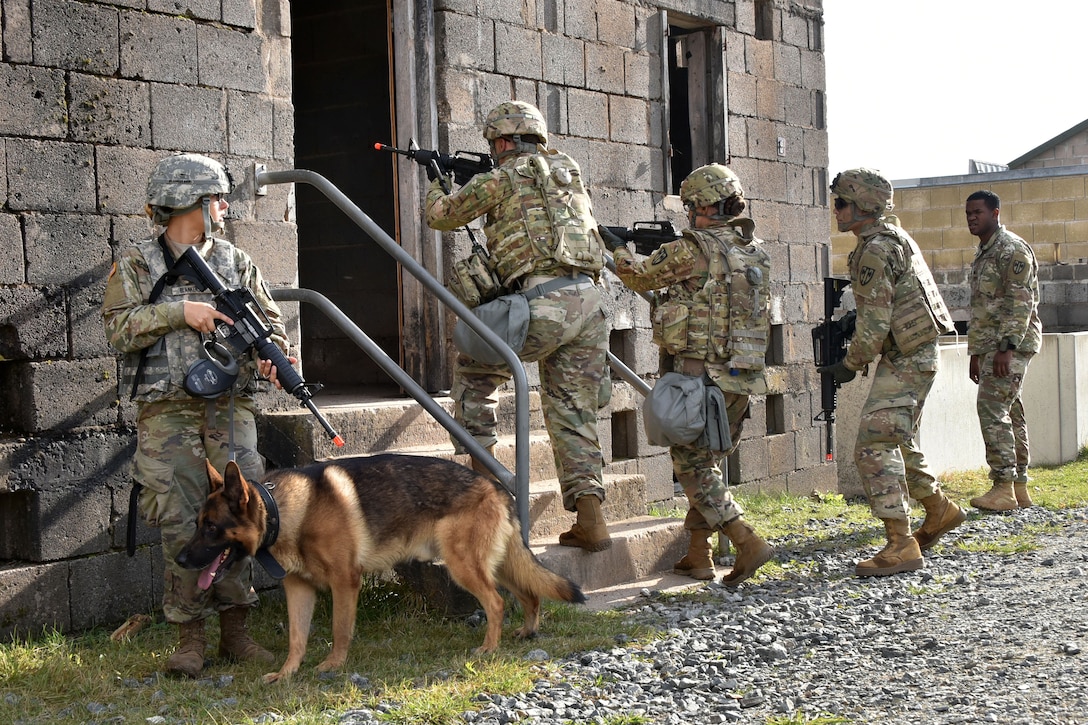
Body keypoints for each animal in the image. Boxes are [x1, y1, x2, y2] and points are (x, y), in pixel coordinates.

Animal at [176, 455, 587, 679]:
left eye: (211, 527)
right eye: (197, 524)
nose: (180, 560)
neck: (284, 510)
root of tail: (496, 487)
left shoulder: (345, 582)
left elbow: (340, 629)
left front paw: (333, 665)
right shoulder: (299, 590)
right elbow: (297, 637)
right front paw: (287, 673)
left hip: (464, 566)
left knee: (498, 603)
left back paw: (489, 648)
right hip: (496, 564)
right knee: (530, 594)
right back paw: (528, 631)